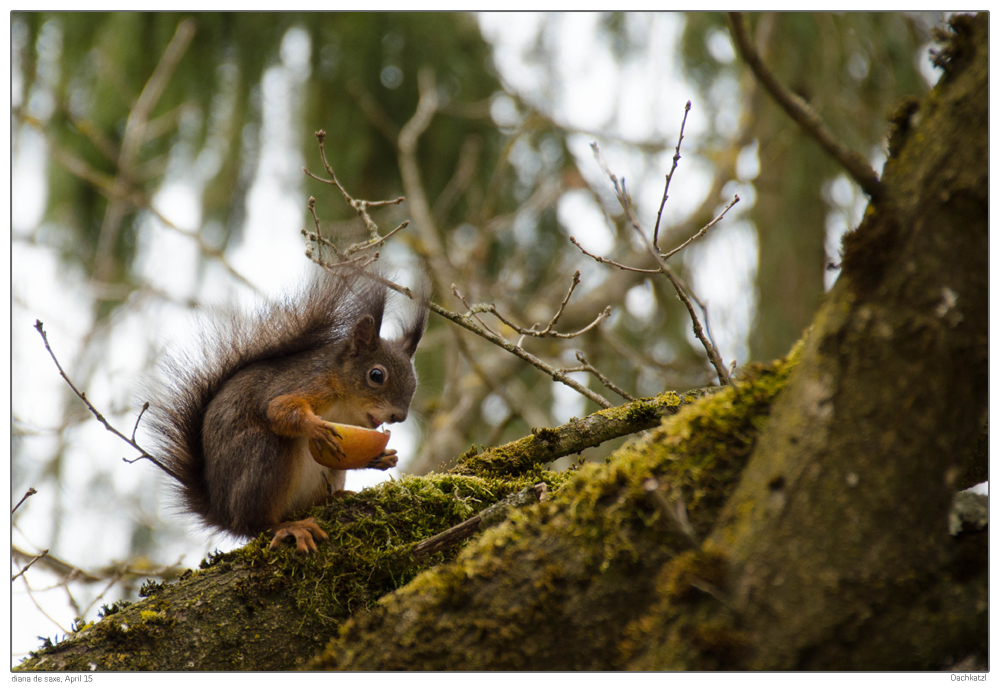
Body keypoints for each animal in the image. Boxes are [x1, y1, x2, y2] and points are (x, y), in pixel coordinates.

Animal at [147, 270, 426, 556]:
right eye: (376, 375)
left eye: (414, 382)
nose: (399, 416)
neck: (346, 404)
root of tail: (222, 513)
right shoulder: (307, 384)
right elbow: (278, 409)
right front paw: (316, 428)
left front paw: (383, 457)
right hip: (263, 455)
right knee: (254, 524)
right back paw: (287, 528)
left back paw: (333, 498)